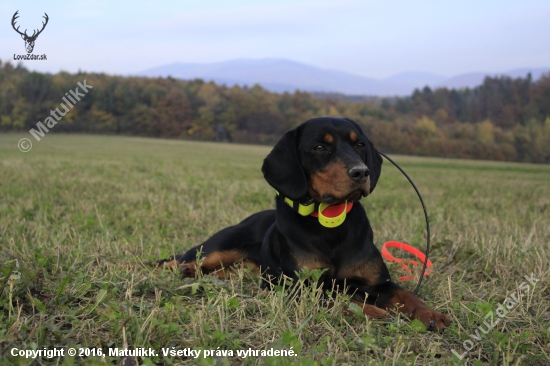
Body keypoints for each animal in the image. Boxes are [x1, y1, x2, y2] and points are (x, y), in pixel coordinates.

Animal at [160, 116, 452, 332]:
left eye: (359, 145)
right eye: (320, 148)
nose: (361, 172)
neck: (329, 227)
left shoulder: (377, 283)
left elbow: (406, 295)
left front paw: (430, 313)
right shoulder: (300, 287)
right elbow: (336, 299)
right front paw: (373, 311)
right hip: (218, 247)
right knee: (177, 260)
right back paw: (181, 269)